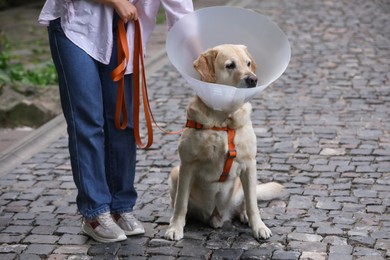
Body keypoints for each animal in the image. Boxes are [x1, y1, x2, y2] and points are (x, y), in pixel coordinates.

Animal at [165, 44, 284, 240]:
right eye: (230, 65)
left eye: (248, 63)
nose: (253, 79)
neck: (223, 121)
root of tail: (217, 216)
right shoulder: (187, 165)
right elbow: (181, 204)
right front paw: (175, 228)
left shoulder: (249, 164)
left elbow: (252, 204)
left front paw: (259, 227)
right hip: (175, 173)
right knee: (180, 205)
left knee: (247, 201)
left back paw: (244, 215)